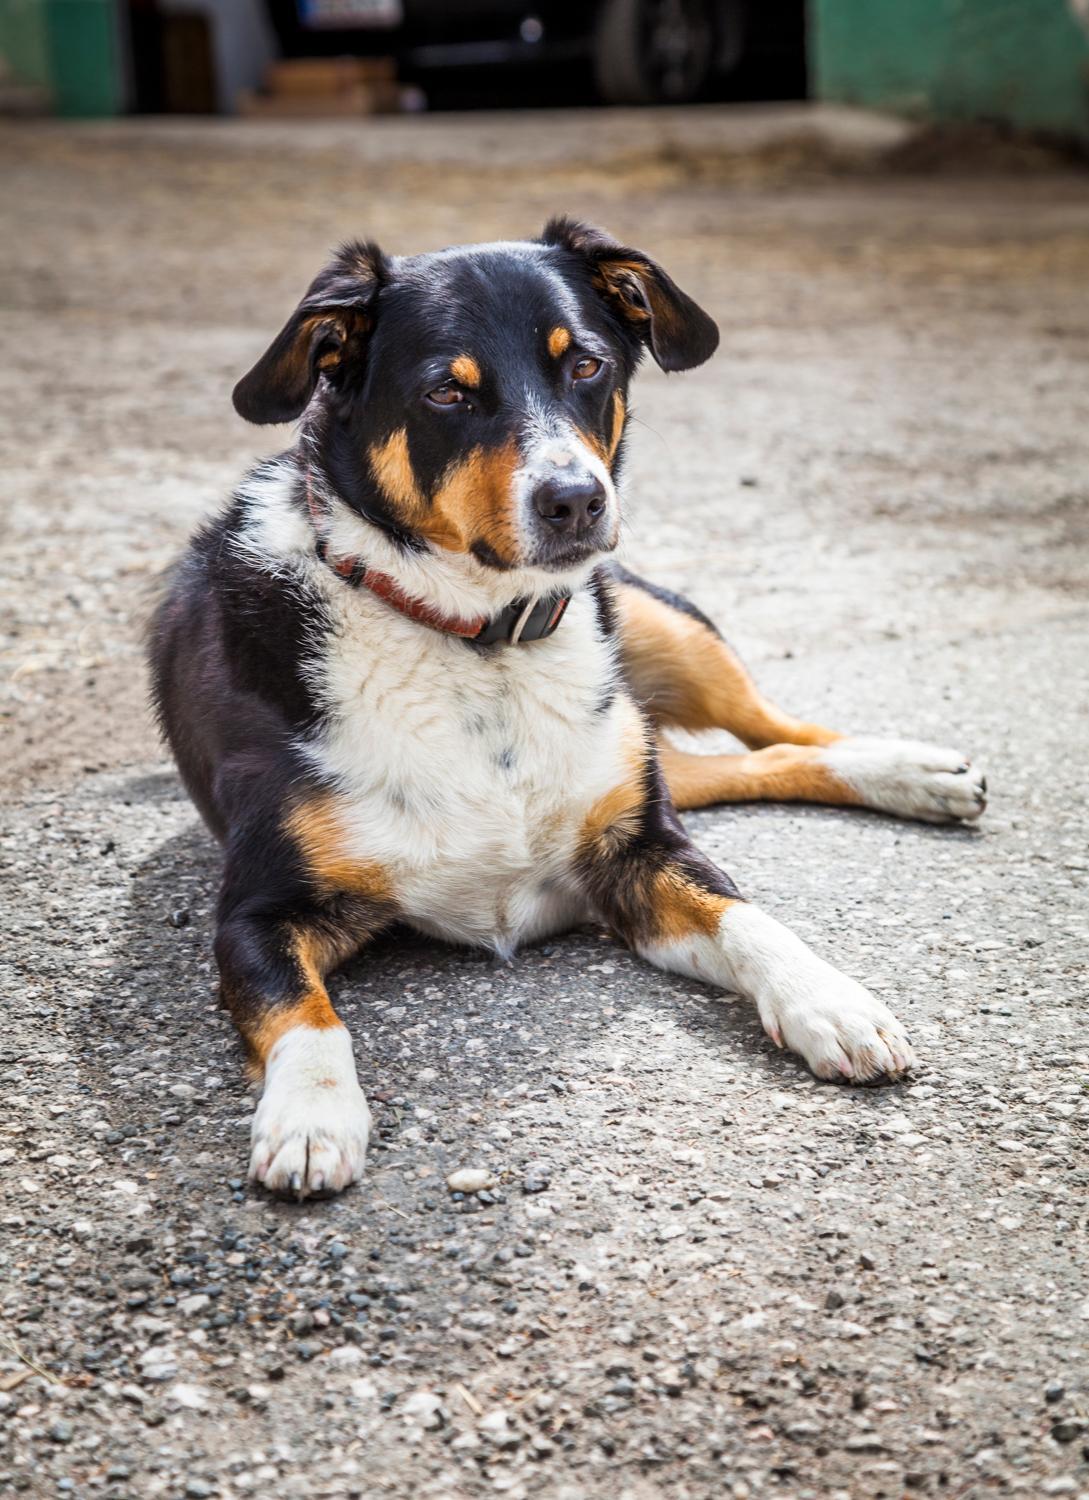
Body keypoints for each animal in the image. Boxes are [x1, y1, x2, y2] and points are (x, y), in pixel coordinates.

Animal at [149, 219, 996, 1194]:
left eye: (585, 365)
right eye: (446, 389)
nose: (576, 499)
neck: (479, 643)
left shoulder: (637, 853)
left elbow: (747, 917)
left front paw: (830, 999)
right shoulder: (257, 913)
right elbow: (304, 1013)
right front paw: (311, 1114)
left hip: (658, 626)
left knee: (777, 732)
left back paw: (911, 769)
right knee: (728, 760)